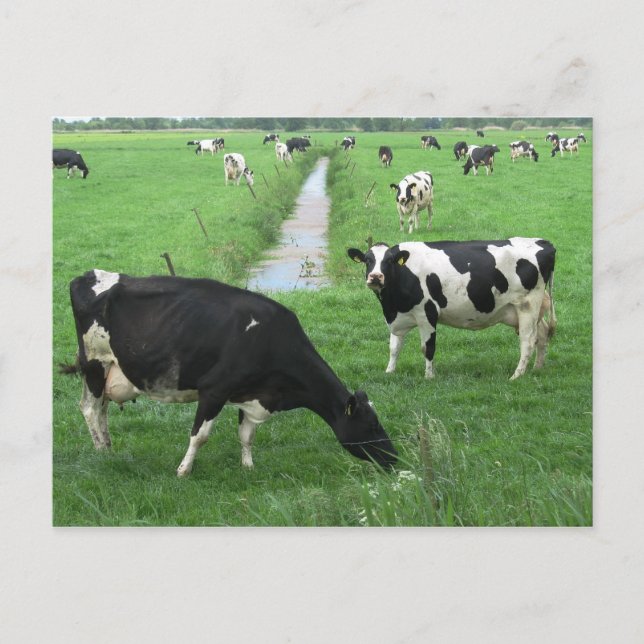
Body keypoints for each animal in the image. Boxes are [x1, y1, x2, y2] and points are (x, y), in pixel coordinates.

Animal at [61, 271, 397, 474]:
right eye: (372, 425)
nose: (395, 458)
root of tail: (88, 275)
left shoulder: (253, 394)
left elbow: (247, 434)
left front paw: (248, 467)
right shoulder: (214, 389)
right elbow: (200, 436)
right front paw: (183, 471)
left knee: (99, 409)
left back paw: (107, 446)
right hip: (95, 363)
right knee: (91, 409)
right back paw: (102, 452)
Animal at [347, 238, 556, 380]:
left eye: (389, 261)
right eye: (367, 260)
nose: (375, 277)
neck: (392, 305)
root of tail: (543, 242)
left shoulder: (427, 313)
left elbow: (428, 347)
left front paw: (429, 376)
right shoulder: (399, 317)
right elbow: (394, 348)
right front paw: (389, 372)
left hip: (528, 305)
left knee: (528, 340)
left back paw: (516, 375)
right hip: (531, 309)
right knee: (542, 334)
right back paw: (537, 368)